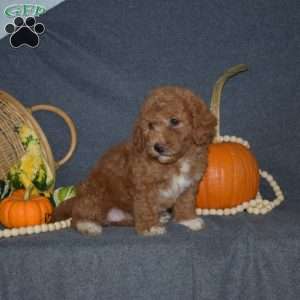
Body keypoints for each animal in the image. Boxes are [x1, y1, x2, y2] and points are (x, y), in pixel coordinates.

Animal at [51, 85, 216, 236]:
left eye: (174, 121)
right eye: (150, 125)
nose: (158, 147)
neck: (176, 161)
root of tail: (77, 198)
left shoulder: (189, 185)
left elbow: (185, 202)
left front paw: (188, 220)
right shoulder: (144, 185)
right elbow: (146, 207)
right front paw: (150, 227)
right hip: (95, 194)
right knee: (79, 216)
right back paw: (88, 225)